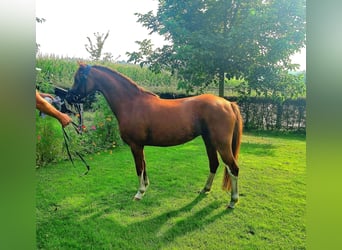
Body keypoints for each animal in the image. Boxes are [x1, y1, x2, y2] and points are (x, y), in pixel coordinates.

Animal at [66, 63, 243, 208]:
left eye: (78, 78)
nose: (69, 97)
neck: (131, 103)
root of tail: (228, 103)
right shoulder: (140, 146)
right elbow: (144, 166)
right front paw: (145, 188)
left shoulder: (135, 145)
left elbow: (139, 168)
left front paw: (139, 193)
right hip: (209, 141)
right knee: (214, 164)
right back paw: (205, 189)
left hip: (221, 144)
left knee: (233, 168)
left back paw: (233, 201)